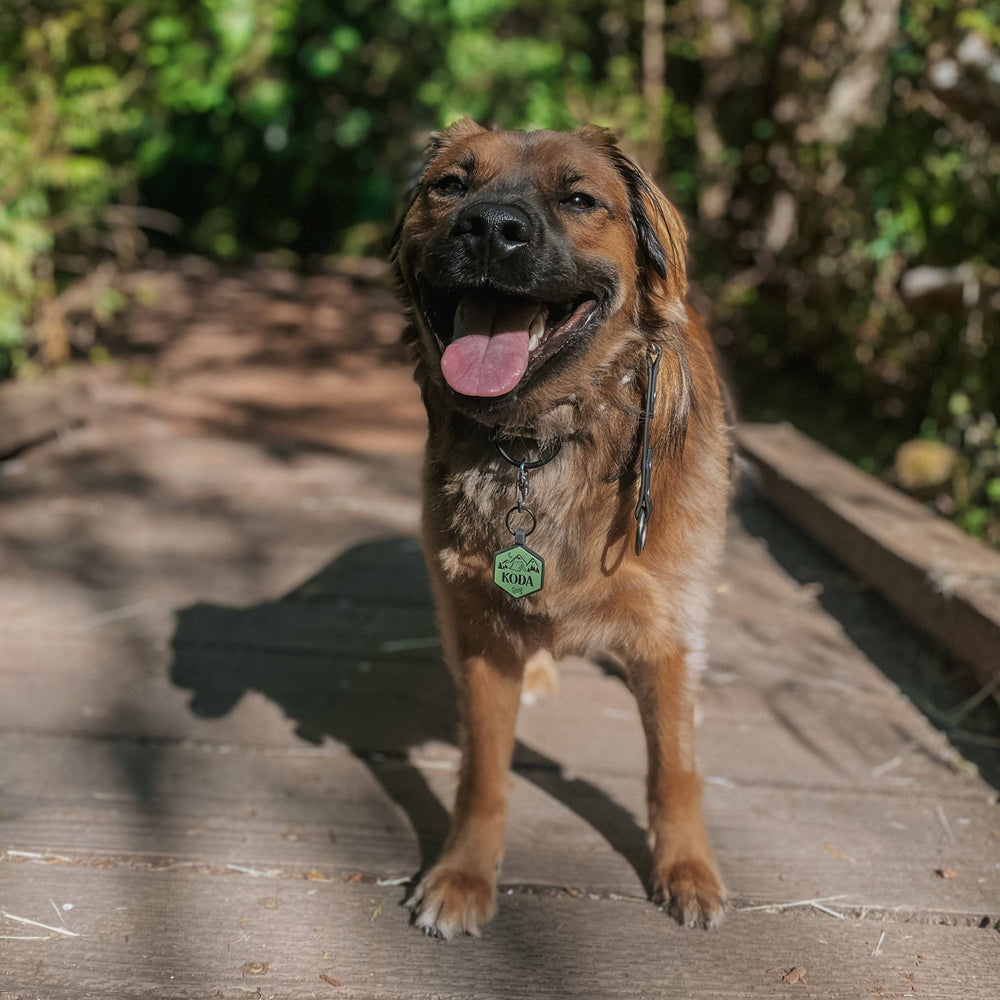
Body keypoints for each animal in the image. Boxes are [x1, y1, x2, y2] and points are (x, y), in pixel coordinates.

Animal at [394, 117, 732, 936]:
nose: (490, 228)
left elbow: (674, 767)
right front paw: (464, 874)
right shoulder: (480, 636)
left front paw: (686, 870)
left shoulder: (668, 634)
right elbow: (484, 773)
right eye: (450, 185)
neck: (537, 443)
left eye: (579, 199)